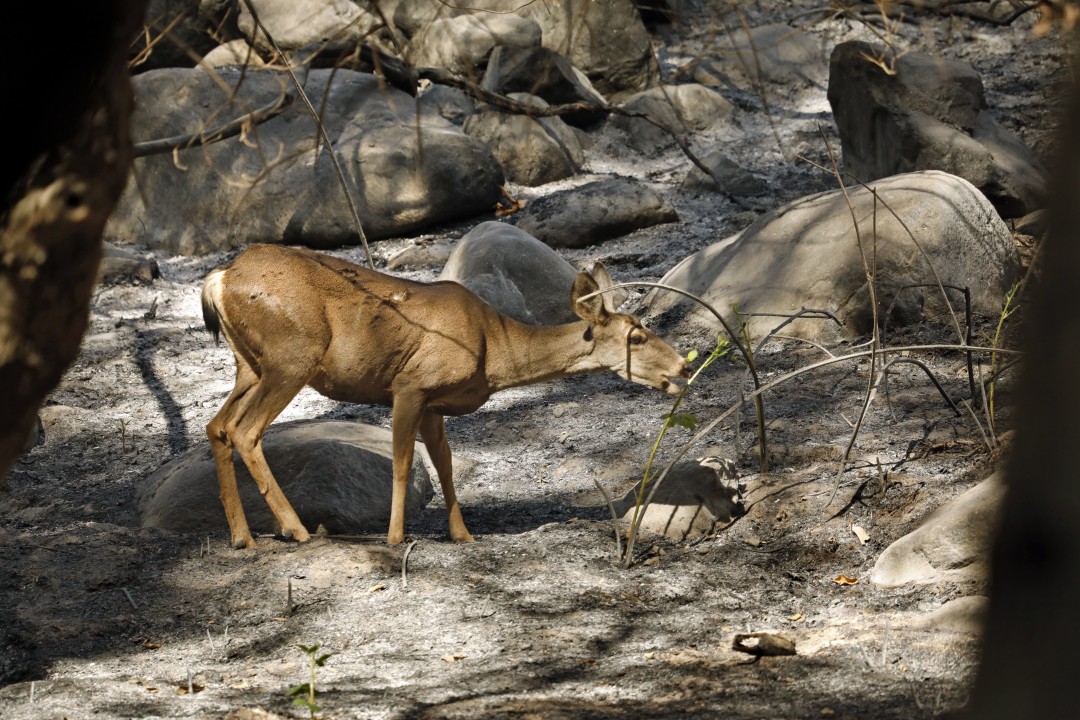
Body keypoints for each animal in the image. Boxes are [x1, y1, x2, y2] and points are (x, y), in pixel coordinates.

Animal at [203, 245, 691, 548]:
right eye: (636, 336)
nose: (684, 368)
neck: (493, 348)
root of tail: (219, 279)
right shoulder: (411, 383)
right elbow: (402, 463)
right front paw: (396, 537)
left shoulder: (434, 403)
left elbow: (446, 464)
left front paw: (462, 534)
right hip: (291, 356)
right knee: (245, 430)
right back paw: (295, 530)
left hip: (250, 364)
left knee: (218, 425)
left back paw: (243, 537)